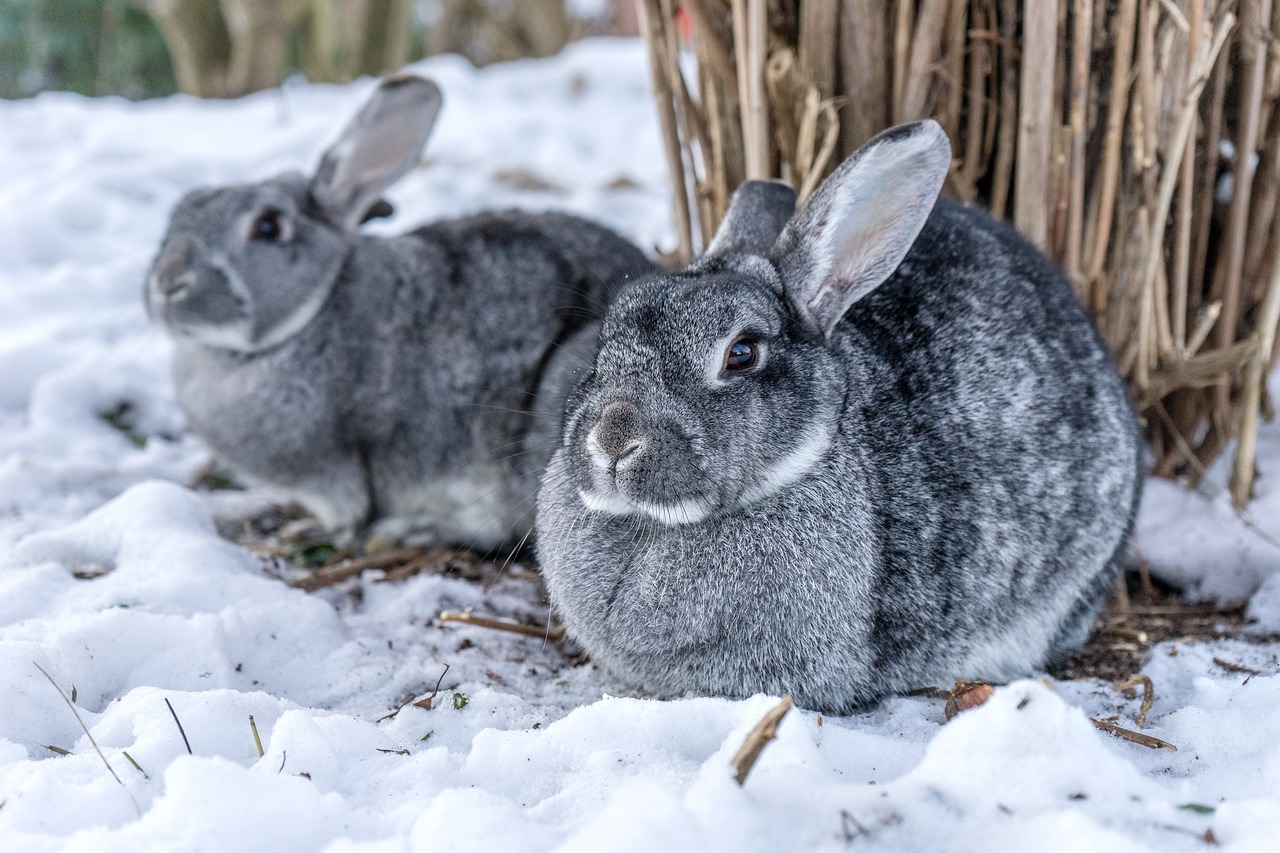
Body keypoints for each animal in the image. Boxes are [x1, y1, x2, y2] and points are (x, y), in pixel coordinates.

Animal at [145, 76, 655, 548]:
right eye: (177, 215)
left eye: (268, 226)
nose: (167, 284)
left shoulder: (336, 473)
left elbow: (346, 512)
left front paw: (316, 531)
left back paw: (413, 530)